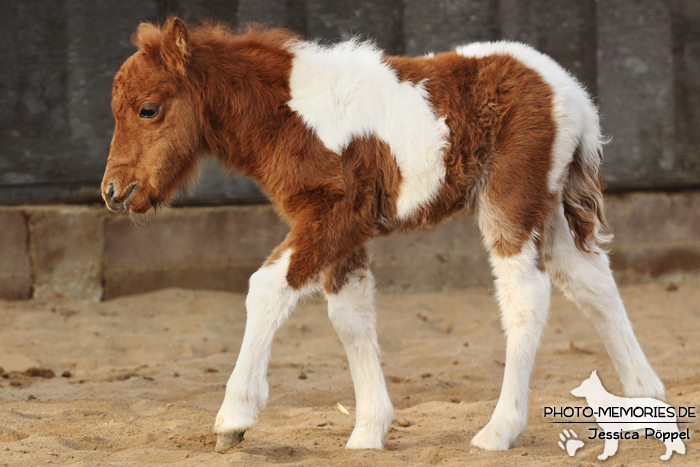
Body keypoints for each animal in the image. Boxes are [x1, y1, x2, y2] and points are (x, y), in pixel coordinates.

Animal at [101, 18, 664, 454]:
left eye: (148, 109)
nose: (113, 191)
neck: (290, 114)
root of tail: (572, 92)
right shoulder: (345, 234)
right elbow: (350, 317)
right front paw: (368, 433)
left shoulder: (336, 215)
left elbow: (266, 288)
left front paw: (234, 419)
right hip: (549, 209)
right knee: (592, 283)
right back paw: (645, 400)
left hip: (511, 202)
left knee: (527, 299)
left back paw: (499, 432)